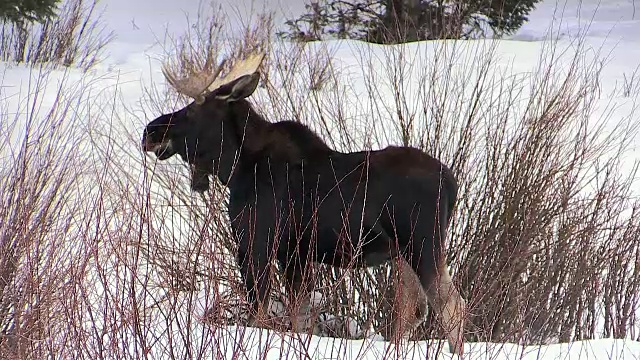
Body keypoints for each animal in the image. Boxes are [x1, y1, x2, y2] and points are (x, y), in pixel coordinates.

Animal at [141, 52, 464, 352]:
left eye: (192, 109)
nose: (150, 132)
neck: (236, 168)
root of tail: (452, 183)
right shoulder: (296, 254)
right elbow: (300, 317)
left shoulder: (256, 244)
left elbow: (261, 313)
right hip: (403, 252)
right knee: (414, 308)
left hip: (422, 244)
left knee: (451, 306)